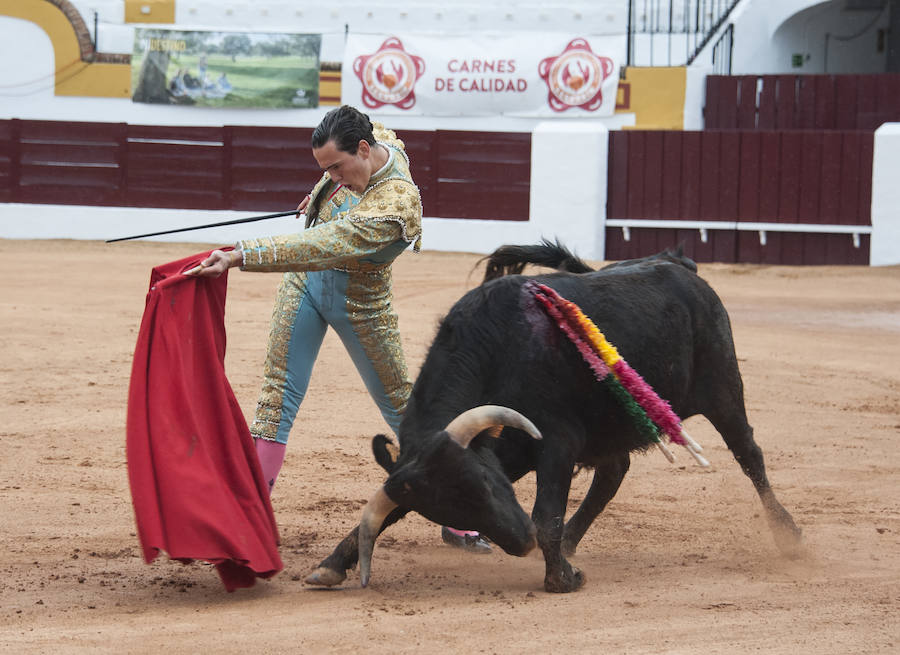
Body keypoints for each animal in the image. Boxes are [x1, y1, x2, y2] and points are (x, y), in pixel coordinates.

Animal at [304, 245, 800, 596]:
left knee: (749, 454)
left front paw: (561, 577)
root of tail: (678, 264)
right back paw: (571, 544)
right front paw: (329, 566)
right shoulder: (489, 454)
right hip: (613, 425)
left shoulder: (555, 442)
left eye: (487, 486)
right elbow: (383, 514)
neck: (497, 348)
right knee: (613, 474)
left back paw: (789, 536)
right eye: (451, 511)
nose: (519, 542)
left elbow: (546, 514)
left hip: (723, 389)